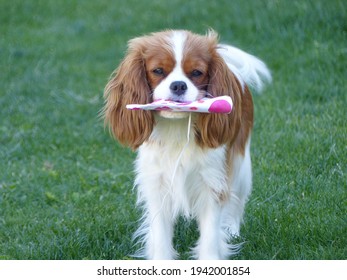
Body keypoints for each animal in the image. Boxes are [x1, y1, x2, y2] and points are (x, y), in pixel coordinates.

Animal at [103, 29, 272, 260]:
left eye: (197, 73)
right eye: (158, 71)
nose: (178, 85)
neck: (178, 127)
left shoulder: (213, 182)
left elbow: (210, 234)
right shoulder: (157, 184)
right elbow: (161, 235)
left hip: (240, 165)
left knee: (237, 201)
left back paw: (231, 230)